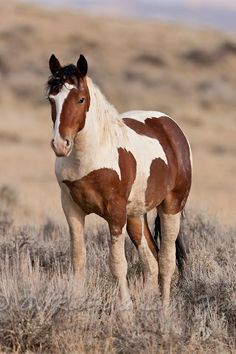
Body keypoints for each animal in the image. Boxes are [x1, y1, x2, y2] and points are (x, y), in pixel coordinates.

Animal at [45, 54, 192, 312]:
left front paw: (125, 312)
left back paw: (164, 312)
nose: (61, 145)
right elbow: (78, 259)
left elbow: (117, 264)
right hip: (136, 216)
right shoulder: (72, 208)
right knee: (151, 262)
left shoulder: (115, 213)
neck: (92, 156)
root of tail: (171, 127)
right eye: (51, 99)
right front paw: (75, 303)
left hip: (171, 208)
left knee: (166, 261)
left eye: (81, 99)